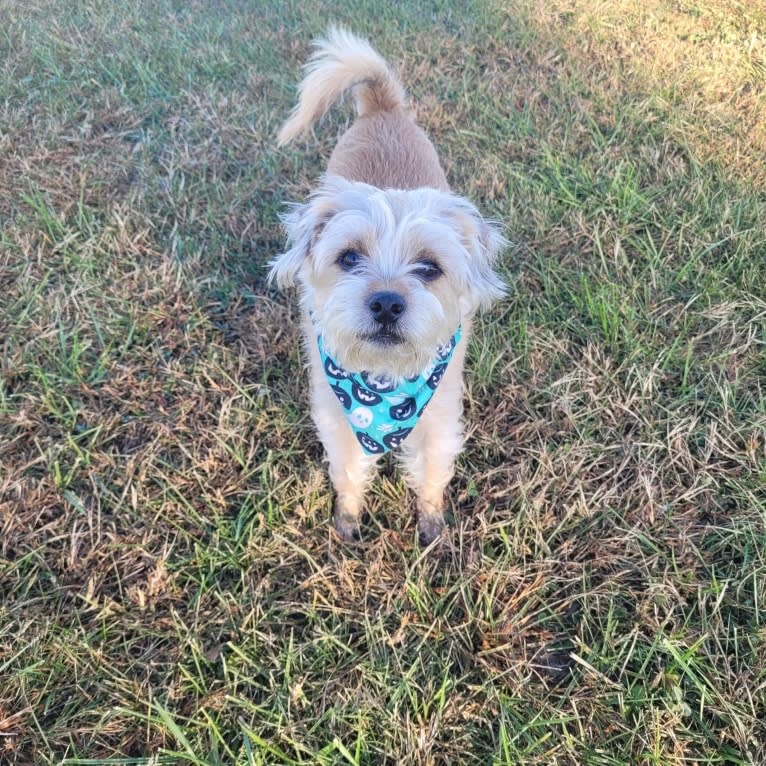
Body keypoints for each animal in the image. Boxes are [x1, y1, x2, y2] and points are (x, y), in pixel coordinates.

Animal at [272, 27, 510, 544]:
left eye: (429, 267)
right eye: (348, 257)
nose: (385, 303)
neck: (382, 381)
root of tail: (382, 106)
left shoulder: (440, 414)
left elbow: (433, 471)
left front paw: (431, 522)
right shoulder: (336, 416)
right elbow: (347, 470)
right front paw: (348, 518)